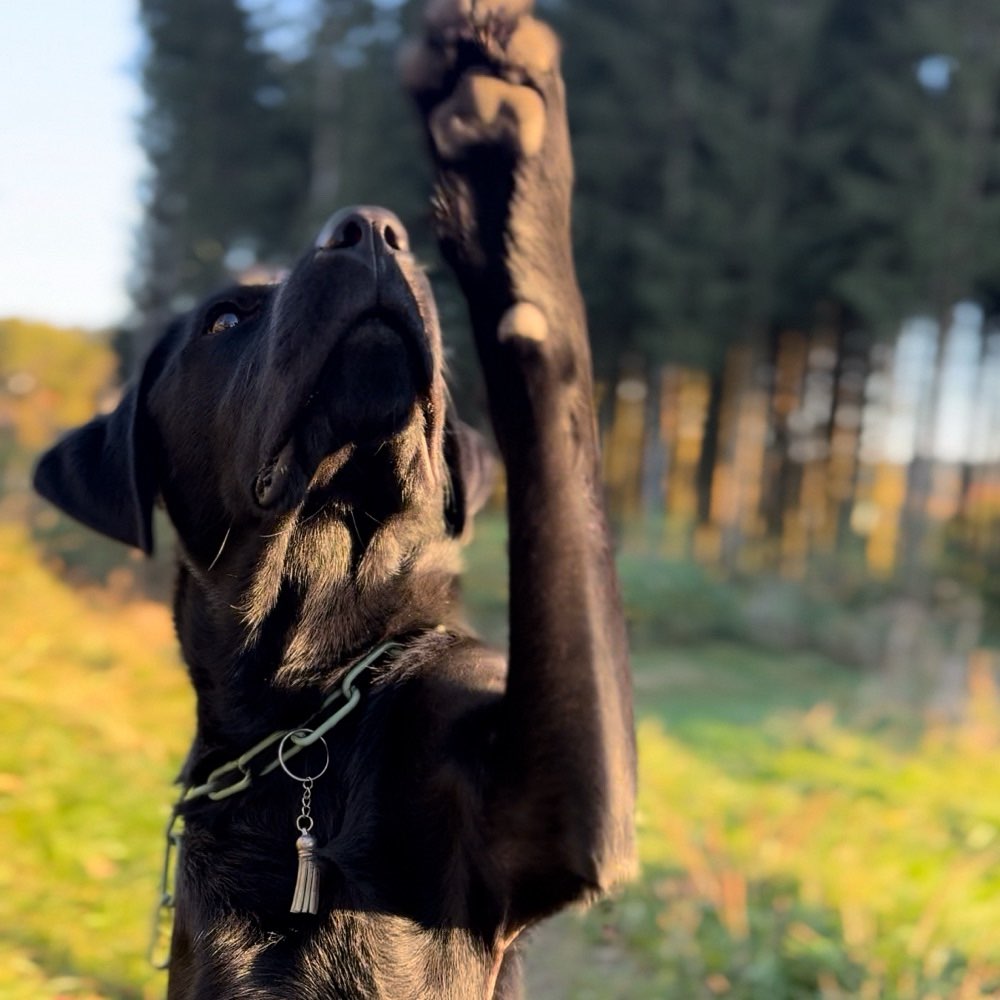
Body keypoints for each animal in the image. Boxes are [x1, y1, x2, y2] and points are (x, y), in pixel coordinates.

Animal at [39, 3, 636, 996]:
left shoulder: (556, 810)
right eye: (225, 318)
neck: (304, 711)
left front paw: (502, 151)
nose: (371, 229)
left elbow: (554, 405)